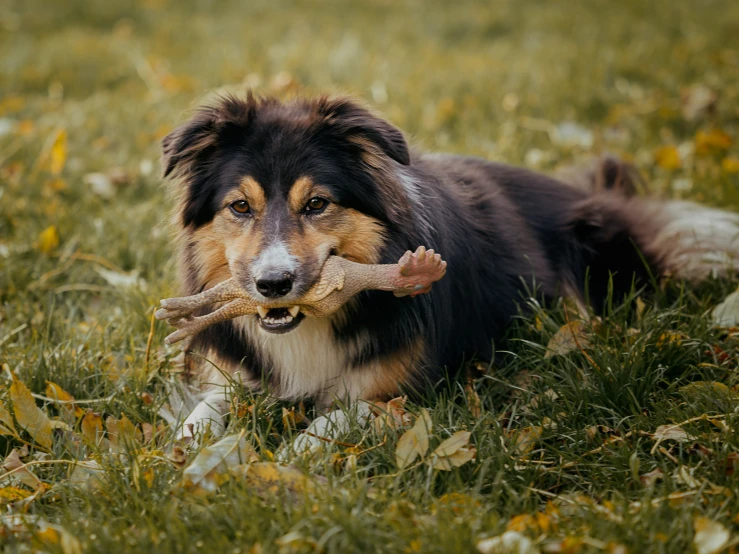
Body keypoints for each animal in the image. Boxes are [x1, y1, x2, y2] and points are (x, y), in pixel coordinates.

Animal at [162, 90, 739, 444]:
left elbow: (333, 421)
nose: (273, 284)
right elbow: (204, 411)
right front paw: (183, 452)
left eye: (317, 204)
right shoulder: (238, 375)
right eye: (240, 207)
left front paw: (291, 456)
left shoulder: (410, 391)